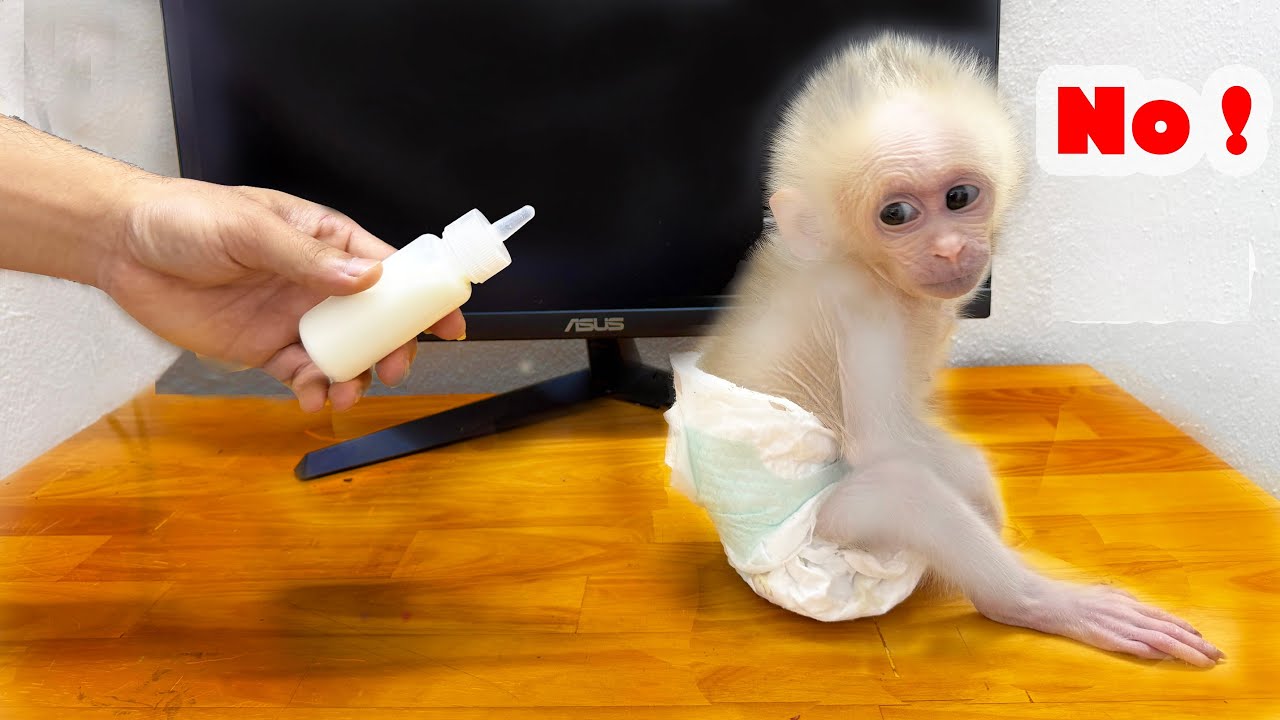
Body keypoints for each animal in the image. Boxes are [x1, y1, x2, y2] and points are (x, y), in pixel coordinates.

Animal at [666, 33, 1223, 667]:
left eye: (959, 197)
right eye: (897, 214)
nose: (951, 247)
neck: (865, 266)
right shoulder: (865, 304)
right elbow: (886, 444)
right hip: (804, 559)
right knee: (902, 492)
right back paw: (1032, 602)